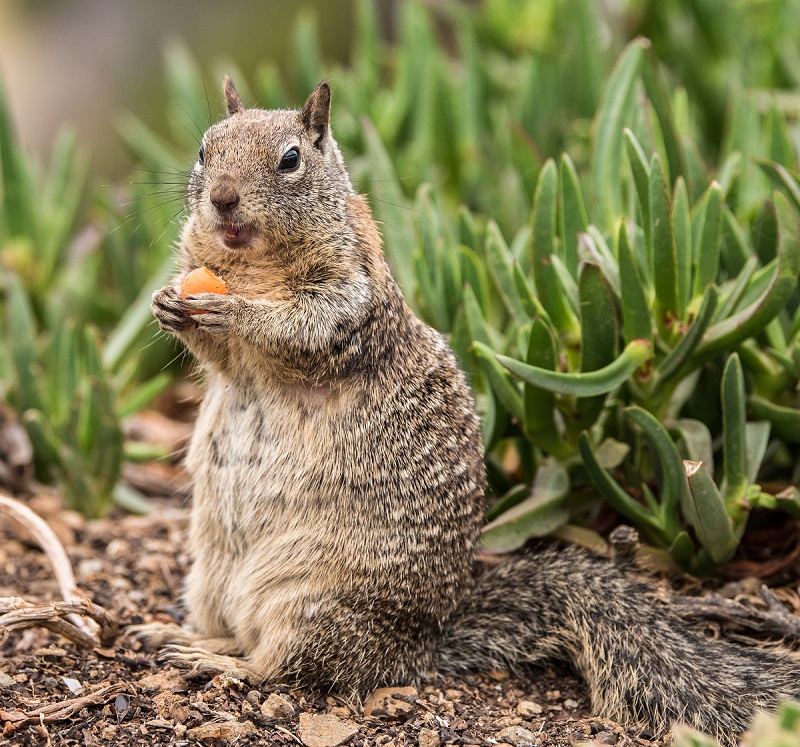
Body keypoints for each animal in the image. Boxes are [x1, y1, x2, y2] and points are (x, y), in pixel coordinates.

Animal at [145, 79, 800, 744]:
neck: (251, 267)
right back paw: (183, 635)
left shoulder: (349, 304)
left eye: (290, 160)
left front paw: (235, 313)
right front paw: (167, 303)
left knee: (288, 667)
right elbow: (222, 358)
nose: (222, 199)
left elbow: (302, 329)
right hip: (211, 576)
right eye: (203, 150)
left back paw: (219, 660)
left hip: (309, 601)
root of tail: (422, 646)